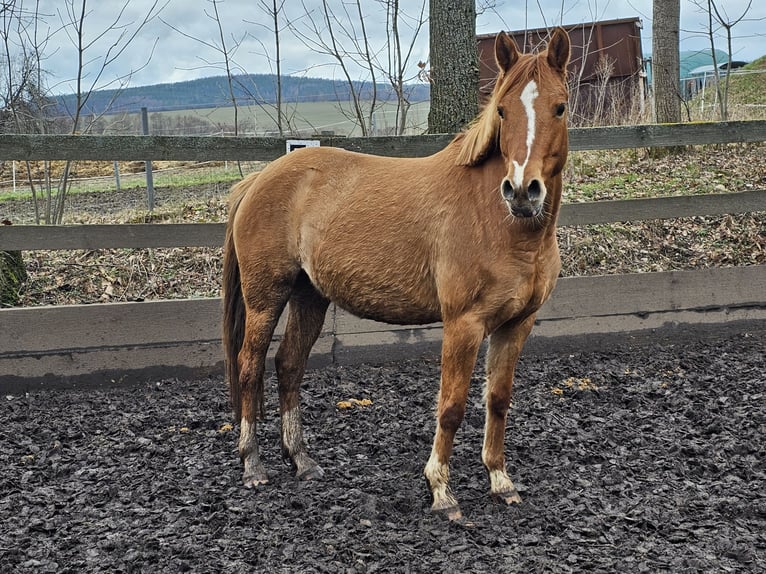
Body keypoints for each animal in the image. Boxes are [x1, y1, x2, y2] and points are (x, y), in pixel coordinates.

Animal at [222, 28, 568, 520]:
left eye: (559, 106)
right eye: (502, 109)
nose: (522, 191)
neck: (500, 222)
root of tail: (259, 180)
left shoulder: (517, 324)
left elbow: (498, 401)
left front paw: (501, 481)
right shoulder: (463, 325)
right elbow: (451, 407)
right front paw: (441, 491)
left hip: (310, 296)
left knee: (288, 365)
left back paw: (302, 461)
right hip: (265, 298)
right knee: (250, 367)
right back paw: (252, 465)